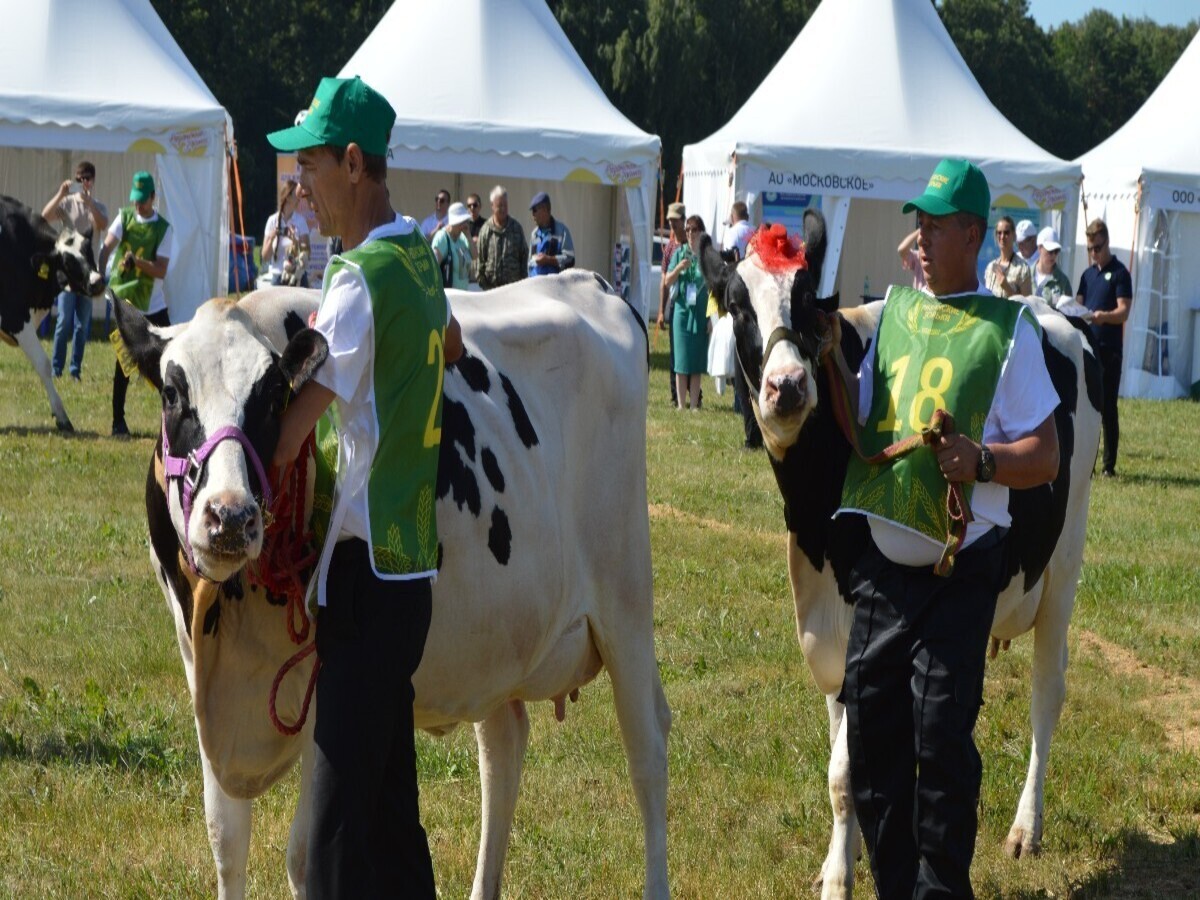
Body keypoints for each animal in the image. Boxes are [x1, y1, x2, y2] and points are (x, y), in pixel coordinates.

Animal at [1, 196, 103, 434]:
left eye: (88, 250)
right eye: (67, 263)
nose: (97, 282)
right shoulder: (15, 317)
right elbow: (44, 364)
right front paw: (62, 417)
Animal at [115, 274, 672, 900]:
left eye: (273, 396)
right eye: (171, 393)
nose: (230, 516)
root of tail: (587, 281)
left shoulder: (327, 686)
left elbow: (305, 852)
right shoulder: (202, 674)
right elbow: (226, 841)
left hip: (626, 596)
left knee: (647, 751)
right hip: (497, 634)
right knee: (503, 748)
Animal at [700, 213, 1099, 900]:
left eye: (807, 302)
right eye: (736, 305)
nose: (787, 385)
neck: (817, 532)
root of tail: (1056, 315)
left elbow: (844, 770)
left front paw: (839, 881)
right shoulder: (832, 630)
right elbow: (850, 761)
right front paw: (843, 859)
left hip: (1063, 565)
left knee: (1048, 690)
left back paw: (1026, 828)